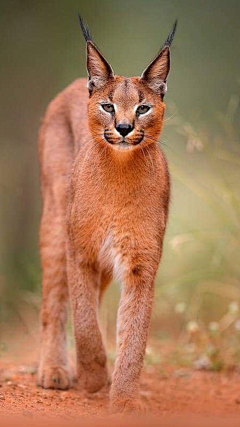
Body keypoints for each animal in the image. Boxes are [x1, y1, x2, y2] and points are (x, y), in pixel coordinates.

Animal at [37, 15, 176, 412]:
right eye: (108, 106)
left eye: (143, 108)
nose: (124, 128)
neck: (119, 172)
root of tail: (72, 84)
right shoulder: (80, 250)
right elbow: (83, 320)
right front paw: (93, 376)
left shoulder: (141, 262)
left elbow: (133, 334)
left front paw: (124, 397)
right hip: (55, 225)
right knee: (53, 301)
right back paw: (54, 369)